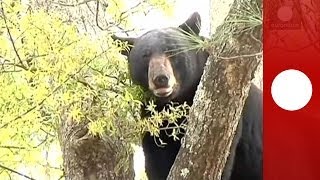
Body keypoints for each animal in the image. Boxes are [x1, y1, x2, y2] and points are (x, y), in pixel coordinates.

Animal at [114, 12, 262, 180]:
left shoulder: (231, 118)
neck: (177, 100)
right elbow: (156, 157)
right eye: (145, 55)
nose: (160, 79)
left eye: (171, 50)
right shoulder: (152, 119)